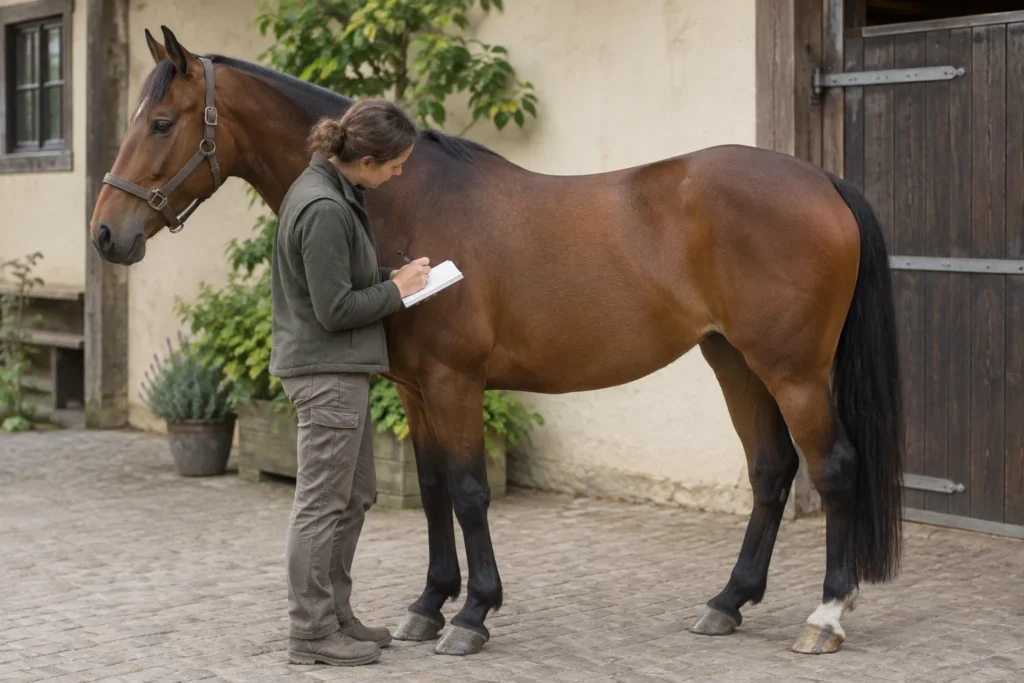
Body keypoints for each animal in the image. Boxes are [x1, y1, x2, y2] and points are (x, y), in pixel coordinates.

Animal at [89, 26, 904, 657]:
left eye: (161, 123)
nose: (105, 234)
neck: (407, 200)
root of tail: (822, 182)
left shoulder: (456, 381)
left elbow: (472, 492)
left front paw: (473, 614)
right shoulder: (415, 388)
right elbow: (432, 492)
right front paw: (427, 606)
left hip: (793, 370)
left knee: (833, 467)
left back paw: (825, 615)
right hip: (733, 359)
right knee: (771, 471)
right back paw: (728, 601)